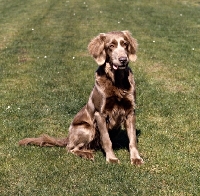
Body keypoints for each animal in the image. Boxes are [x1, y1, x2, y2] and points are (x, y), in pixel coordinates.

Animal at [18, 31, 144, 165]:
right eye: (111, 46)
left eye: (125, 44)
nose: (123, 60)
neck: (117, 81)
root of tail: (68, 138)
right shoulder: (100, 114)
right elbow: (106, 140)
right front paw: (111, 158)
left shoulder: (130, 112)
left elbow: (132, 139)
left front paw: (136, 158)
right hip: (87, 128)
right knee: (70, 148)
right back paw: (86, 154)